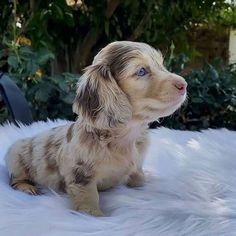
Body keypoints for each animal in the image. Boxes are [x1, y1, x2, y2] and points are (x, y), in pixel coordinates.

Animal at [4, 41, 187, 216]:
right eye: (141, 71)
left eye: (161, 65)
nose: (184, 85)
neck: (127, 134)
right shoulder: (81, 173)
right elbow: (88, 196)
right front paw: (93, 215)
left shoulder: (137, 166)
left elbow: (138, 178)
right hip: (15, 156)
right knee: (15, 180)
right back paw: (28, 187)